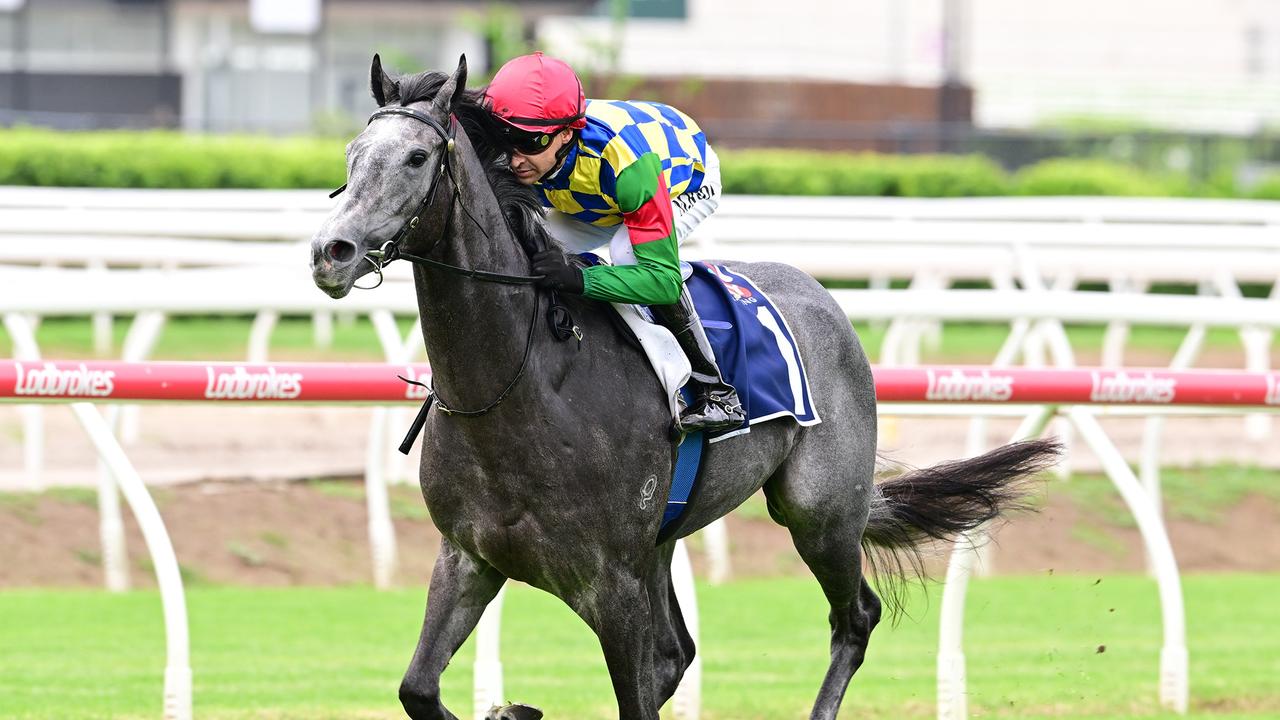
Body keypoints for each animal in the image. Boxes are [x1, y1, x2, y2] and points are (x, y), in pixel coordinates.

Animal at [309, 53, 1059, 712]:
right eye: (352, 153)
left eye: (416, 158)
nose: (331, 252)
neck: (517, 389)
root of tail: (822, 296)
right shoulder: (469, 557)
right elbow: (417, 689)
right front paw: (510, 710)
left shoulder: (609, 582)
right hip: (667, 539)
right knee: (677, 653)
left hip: (820, 512)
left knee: (855, 618)